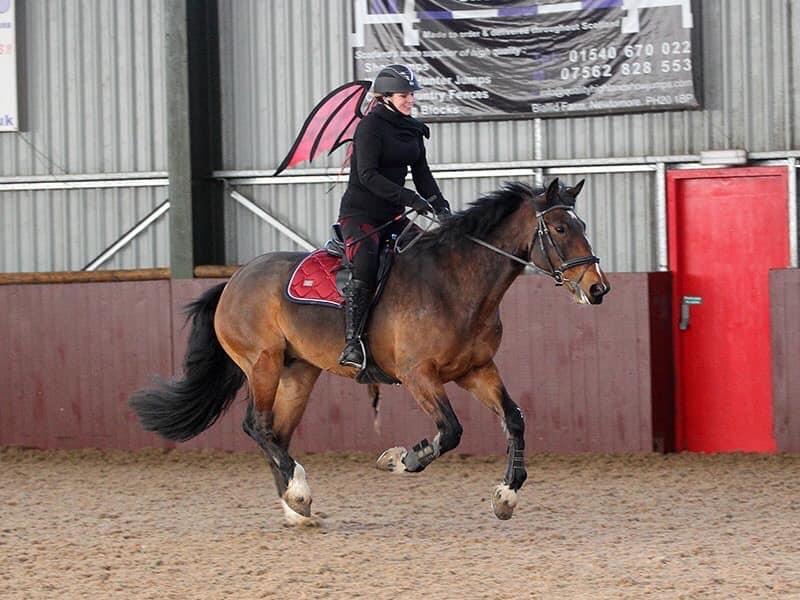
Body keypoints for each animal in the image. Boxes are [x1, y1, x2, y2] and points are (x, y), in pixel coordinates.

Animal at [130, 179, 608, 524]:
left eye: (582, 227)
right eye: (561, 229)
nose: (597, 289)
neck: (455, 283)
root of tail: (233, 281)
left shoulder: (477, 370)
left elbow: (514, 418)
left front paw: (506, 495)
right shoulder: (419, 375)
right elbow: (450, 431)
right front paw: (398, 460)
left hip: (299, 373)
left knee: (276, 433)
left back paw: (296, 508)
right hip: (262, 364)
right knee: (257, 426)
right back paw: (298, 490)